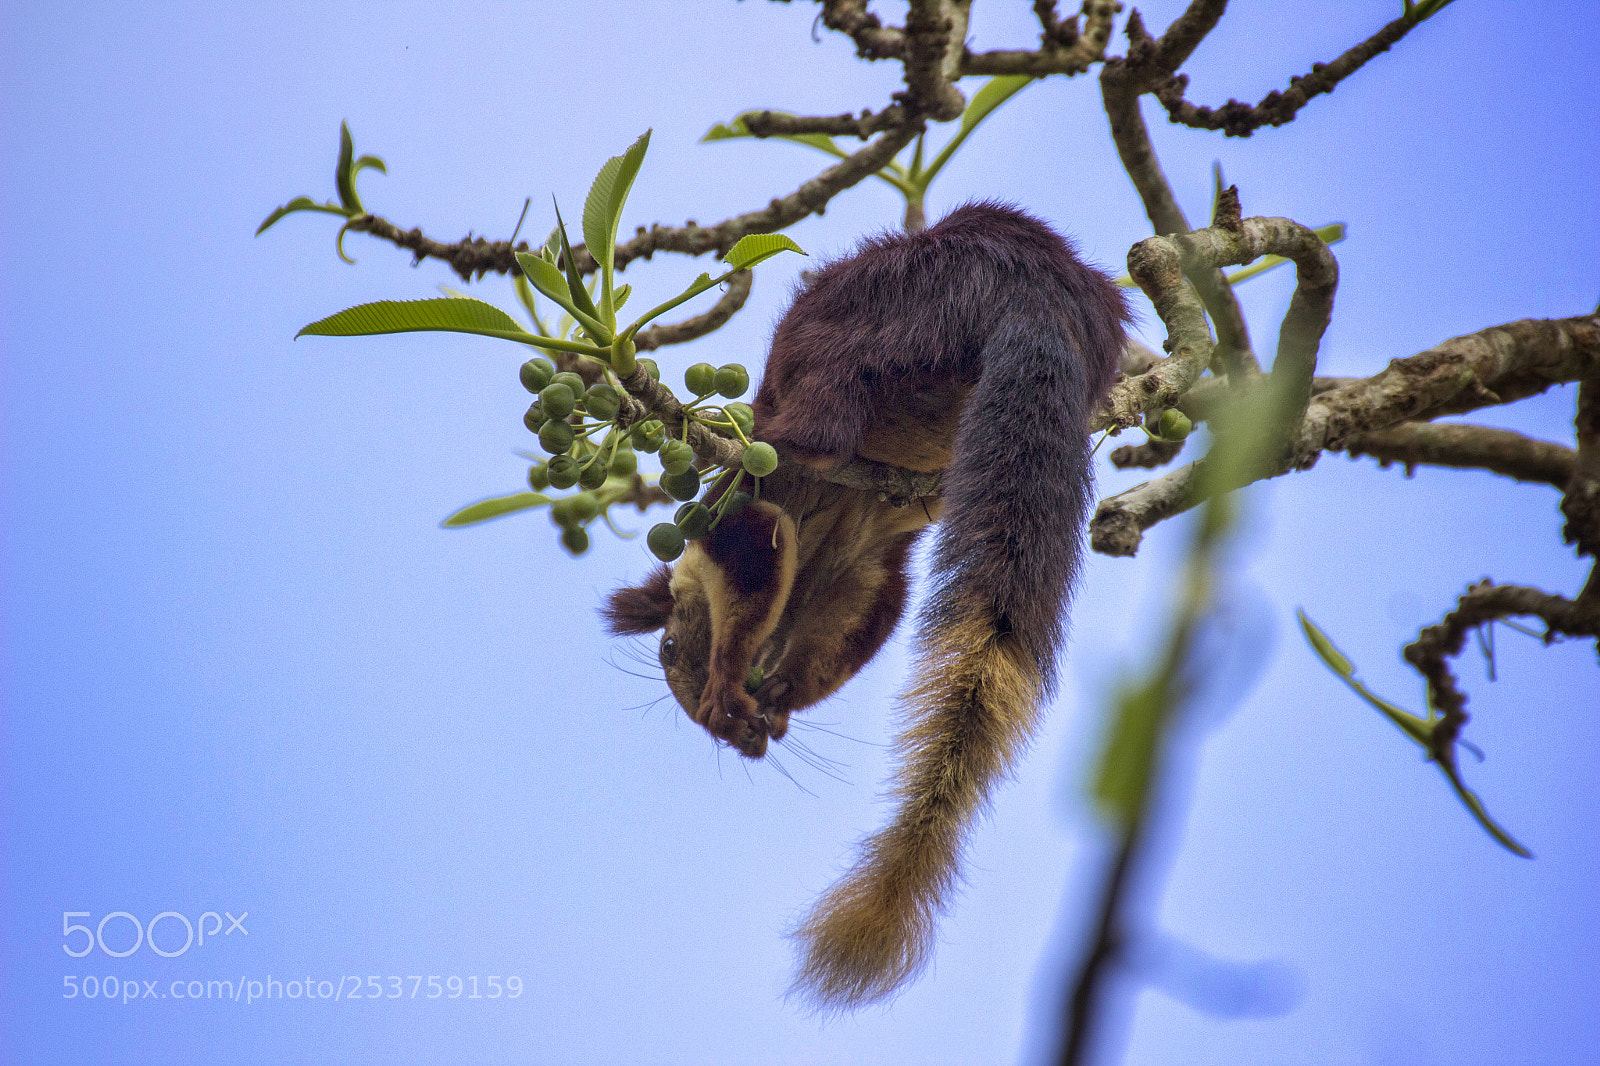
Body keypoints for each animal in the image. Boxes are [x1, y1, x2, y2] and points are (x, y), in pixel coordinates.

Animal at [603, 201, 1129, 1008]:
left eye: (666, 649)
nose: (737, 737)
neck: (824, 540)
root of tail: (1030, 285)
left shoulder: (748, 521)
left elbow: (749, 559)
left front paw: (727, 688)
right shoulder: (870, 573)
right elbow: (846, 633)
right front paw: (776, 702)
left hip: (868, 330)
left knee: (819, 417)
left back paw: (777, 431)